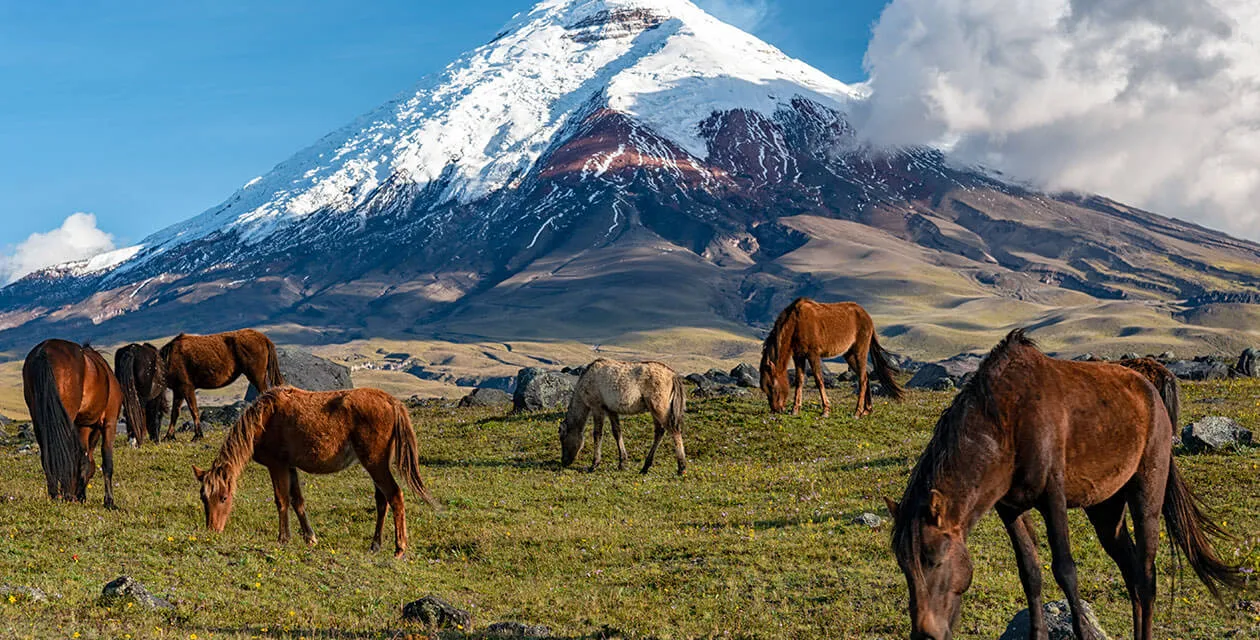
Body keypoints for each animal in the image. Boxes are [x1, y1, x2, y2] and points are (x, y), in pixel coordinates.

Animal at [22, 339, 124, 508]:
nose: (78, 496)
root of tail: (44, 350)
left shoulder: (82, 425)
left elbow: (82, 459)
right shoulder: (109, 422)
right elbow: (106, 461)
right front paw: (109, 501)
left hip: (38, 418)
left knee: (47, 454)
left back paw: (56, 494)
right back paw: (65, 494)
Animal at [193, 386, 439, 558]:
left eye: (224, 497)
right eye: (204, 498)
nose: (213, 531)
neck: (264, 419)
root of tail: (392, 402)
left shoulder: (277, 465)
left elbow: (281, 500)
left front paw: (283, 538)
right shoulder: (290, 466)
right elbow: (297, 501)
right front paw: (310, 538)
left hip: (375, 463)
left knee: (395, 496)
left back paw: (399, 548)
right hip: (376, 464)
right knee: (382, 501)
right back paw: (375, 545)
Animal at [759, 297, 905, 418]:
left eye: (772, 385)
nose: (776, 410)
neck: (796, 323)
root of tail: (867, 316)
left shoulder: (813, 354)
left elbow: (819, 380)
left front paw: (826, 410)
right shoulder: (798, 355)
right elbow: (799, 380)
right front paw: (795, 409)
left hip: (860, 351)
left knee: (863, 379)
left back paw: (857, 412)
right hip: (849, 354)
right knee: (865, 376)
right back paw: (867, 410)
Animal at [886, 330, 1240, 640]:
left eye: (934, 559)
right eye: (904, 565)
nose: (925, 634)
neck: (1008, 424)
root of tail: (1149, 386)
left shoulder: (1052, 498)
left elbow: (1066, 571)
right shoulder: (1009, 508)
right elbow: (1030, 572)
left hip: (1146, 496)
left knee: (1146, 576)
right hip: (1105, 509)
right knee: (1131, 573)